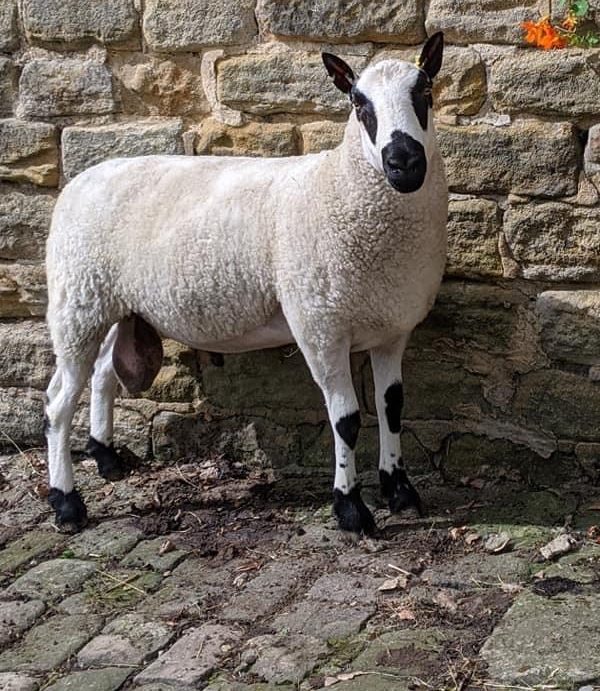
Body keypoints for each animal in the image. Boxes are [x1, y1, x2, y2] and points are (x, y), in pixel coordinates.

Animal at [44, 32, 447, 535]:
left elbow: (391, 407)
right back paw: (66, 502)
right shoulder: (320, 325)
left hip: (112, 302)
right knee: (58, 403)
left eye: (425, 91)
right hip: (75, 300)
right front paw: (350, 508)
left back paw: (107, 459)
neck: (338, 183)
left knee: (100, 374)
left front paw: (400, 491)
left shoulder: (392, 325)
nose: (404, 162)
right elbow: (347, 420)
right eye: (358, 103)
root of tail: (82, 179)